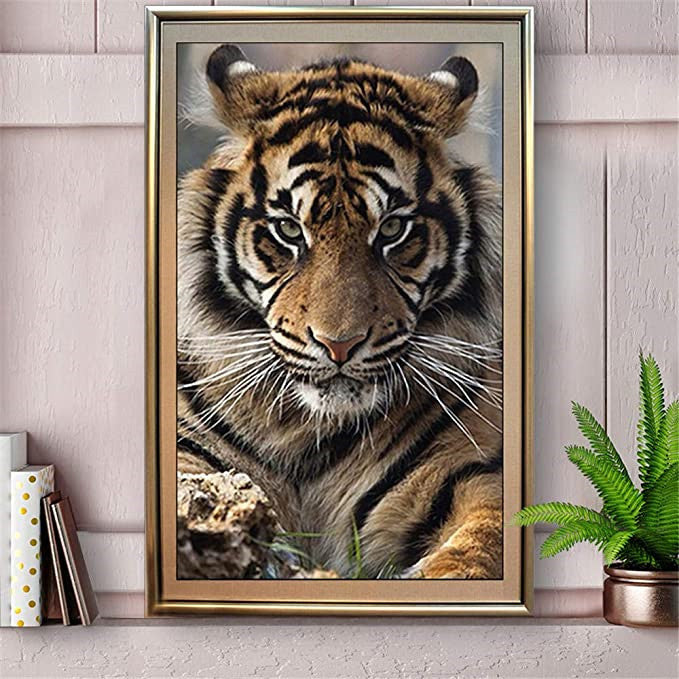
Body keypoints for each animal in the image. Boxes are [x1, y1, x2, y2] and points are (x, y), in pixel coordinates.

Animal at [177, 44, 503, 579]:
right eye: (289, 229)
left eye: (391, 229)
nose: (339, 345)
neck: (304, 430)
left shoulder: (473, 470)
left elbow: (484, 543)